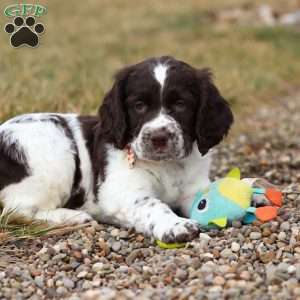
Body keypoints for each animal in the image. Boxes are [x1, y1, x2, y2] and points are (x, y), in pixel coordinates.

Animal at [0, 56, 233, 244]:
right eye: (139, 106)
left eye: (181, 104)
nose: (159, 138)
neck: (167, 166)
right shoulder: (123, 192)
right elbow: (152, 205)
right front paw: (175, 226)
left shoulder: (194, 188)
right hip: (55, 156)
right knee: (16, 210)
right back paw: (73, 217)